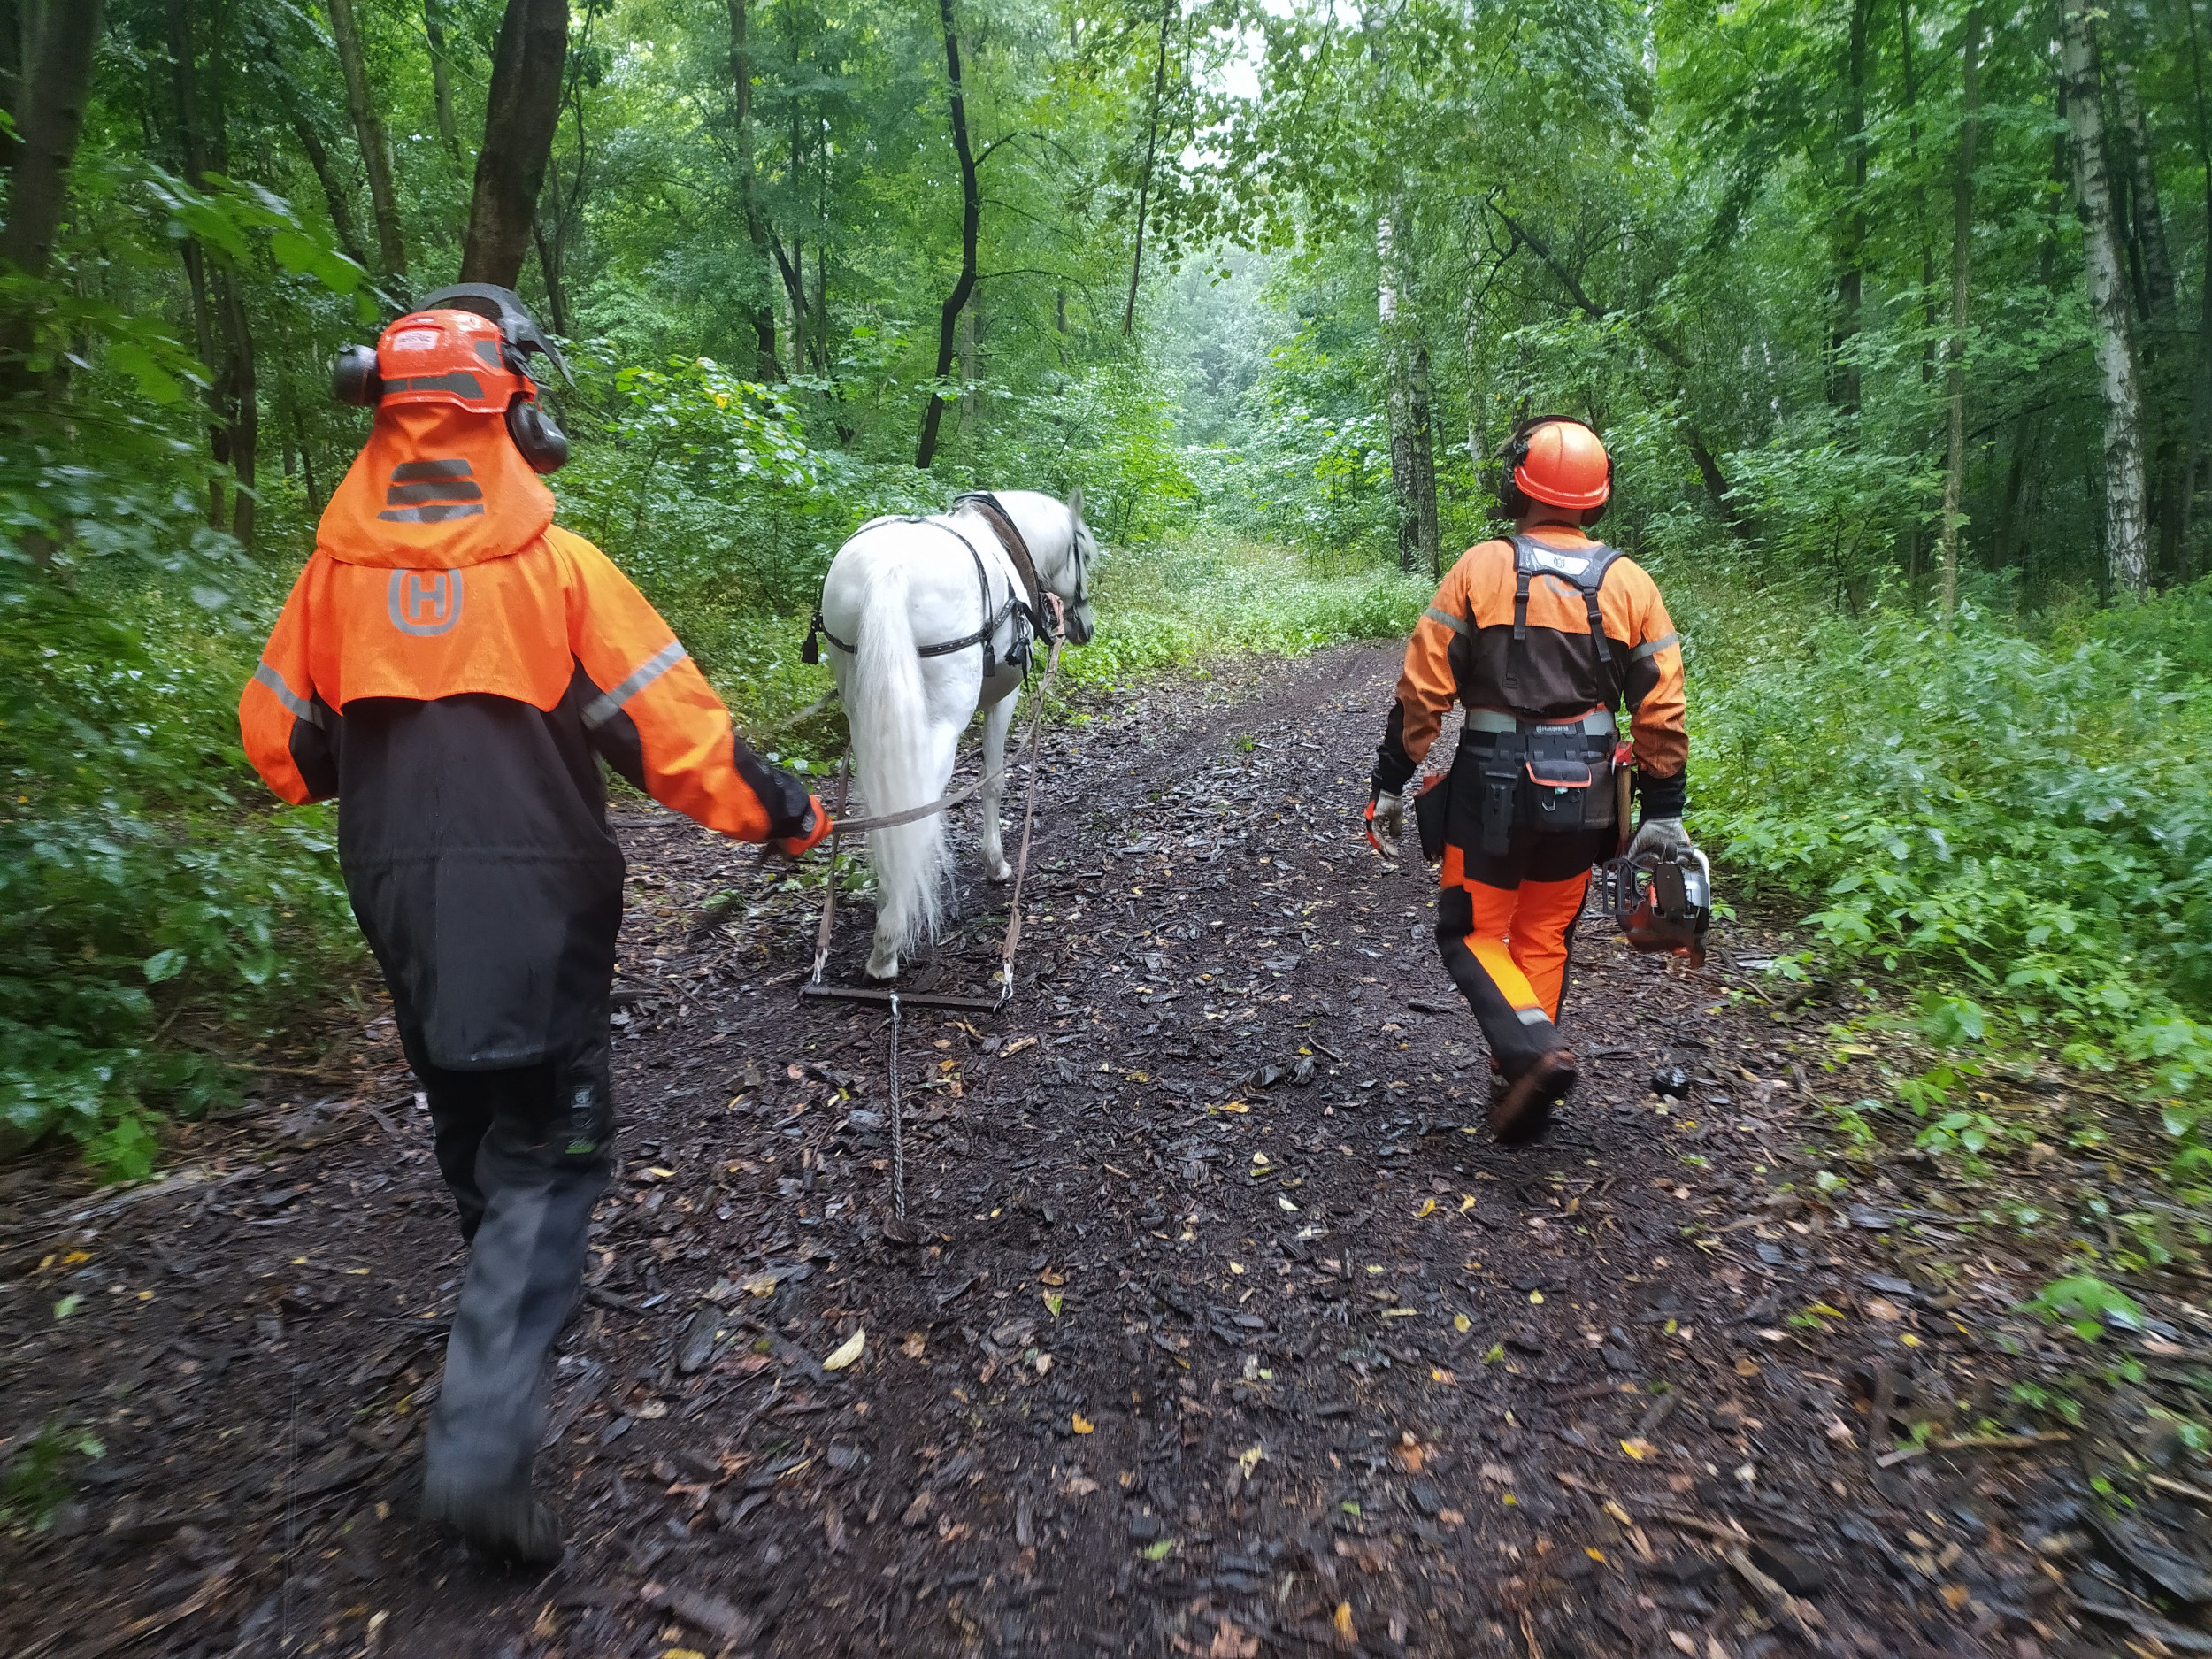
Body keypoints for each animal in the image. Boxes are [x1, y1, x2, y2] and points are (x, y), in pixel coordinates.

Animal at [814, 493, 1097, 987]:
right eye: (1083, 554)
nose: (1086, 626)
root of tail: (890, 567)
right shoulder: (1003, 698)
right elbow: (993, 781)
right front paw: (996, 864)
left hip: (860, 700)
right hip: (944, 716)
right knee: (919, 803)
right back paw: (888, 945)